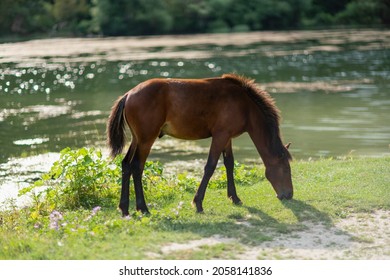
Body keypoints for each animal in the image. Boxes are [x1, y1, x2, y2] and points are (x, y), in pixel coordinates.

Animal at [106, 73, 292, 215]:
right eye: (286, 169)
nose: (289, 194)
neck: (244, 105)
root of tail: (128, 95)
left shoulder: (227, 137)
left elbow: (229, 164)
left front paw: (234, 197)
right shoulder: (220, 136)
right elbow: (210, 166)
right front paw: (198, 203)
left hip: (137, 139)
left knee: (126, 164)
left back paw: (124, 208)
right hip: (146, 140)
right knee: (137, 167)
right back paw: (142, 208)